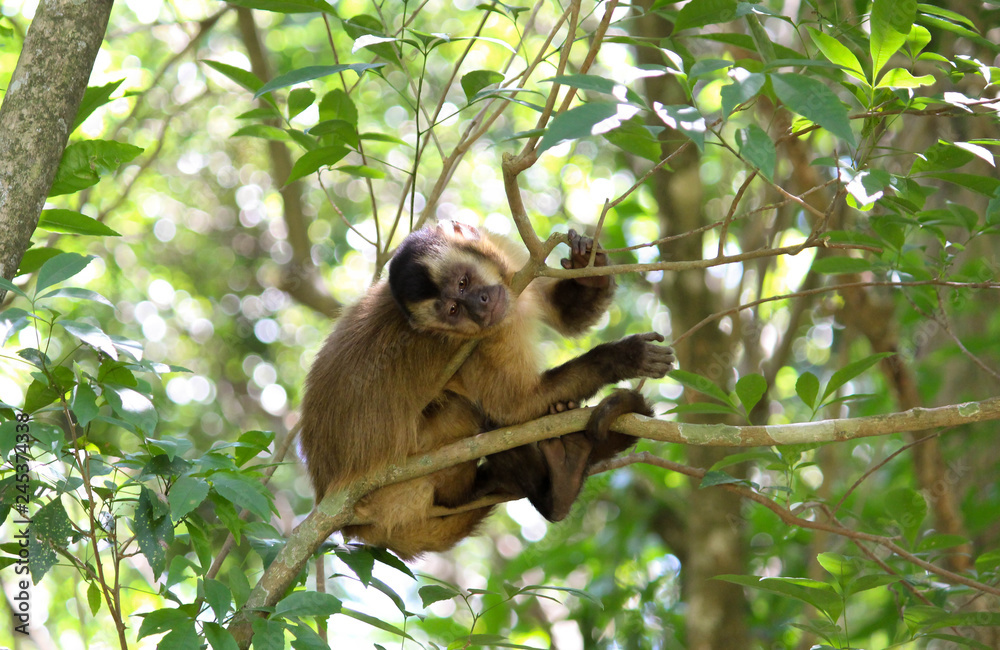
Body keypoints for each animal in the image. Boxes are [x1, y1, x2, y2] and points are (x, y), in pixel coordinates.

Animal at [299, 221, 675, 560]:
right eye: (453, 310)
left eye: (463, 282)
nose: (478, 305)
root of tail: (354, 523)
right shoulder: (478, 341)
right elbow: (514, 407)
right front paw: (621, 357)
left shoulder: (513, 270)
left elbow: (564, 317)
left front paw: (588, 265)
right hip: (402, 484)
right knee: (471, 412)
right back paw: (550, 490)